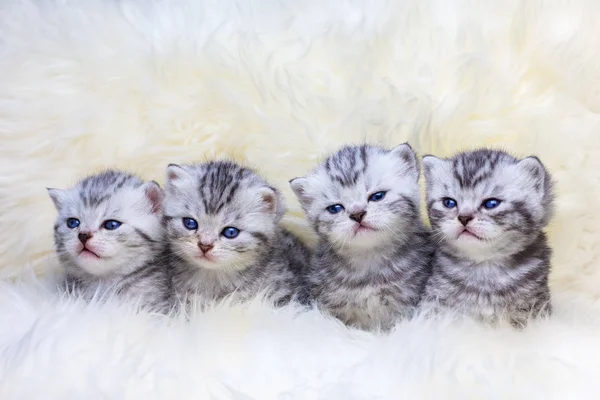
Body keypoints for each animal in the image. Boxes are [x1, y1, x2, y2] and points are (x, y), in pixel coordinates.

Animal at [420, 148, 556, 326]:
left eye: (491, 203)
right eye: (449, 202)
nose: (464, 217)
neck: (484, 266)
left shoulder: (533, 306)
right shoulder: (435, 302)